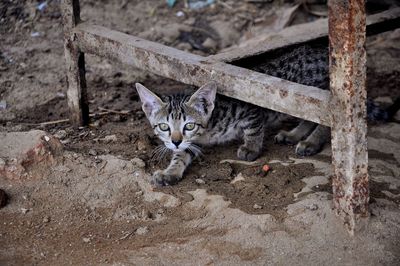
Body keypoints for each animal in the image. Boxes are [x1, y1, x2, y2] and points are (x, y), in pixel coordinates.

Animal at [136, 45, 398, 187]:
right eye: (164, 127)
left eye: (188, 125)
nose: (175, 140)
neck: (209, 127)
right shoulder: (189, 143)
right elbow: (182, 155)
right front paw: (170, 172)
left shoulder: (250, 108)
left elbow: (253, 129)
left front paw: (250, 148)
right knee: (307, 118)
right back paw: (293, 134)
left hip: (319, 97)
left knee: (324, 123)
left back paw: (311, 142)